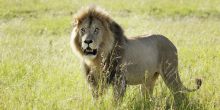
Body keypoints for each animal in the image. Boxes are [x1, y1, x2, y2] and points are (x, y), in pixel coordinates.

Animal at [70, 5, 201, 104]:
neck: (97, 60)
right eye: (83, 30)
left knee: (180, 94)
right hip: (149, 79)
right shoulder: (94, 82)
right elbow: (96, 100)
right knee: (148, 97)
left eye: (96, 29)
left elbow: (116, 102)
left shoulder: (119, 81)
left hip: (170, 74)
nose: (87, 41)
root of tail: (171, 43)